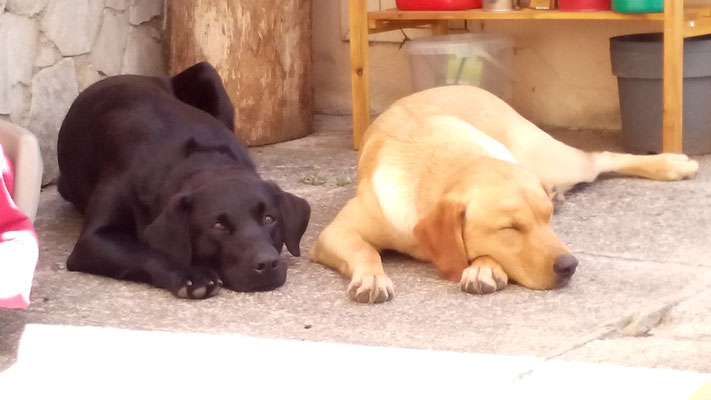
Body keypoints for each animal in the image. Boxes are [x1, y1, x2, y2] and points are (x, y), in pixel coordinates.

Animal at [56, 62, 308, 298]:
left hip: (208, 74)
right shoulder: (93, 239)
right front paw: (191, 275)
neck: (200, 159)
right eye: (217, 225)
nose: (267, 264)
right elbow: (148, 251)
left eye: (269, 219)